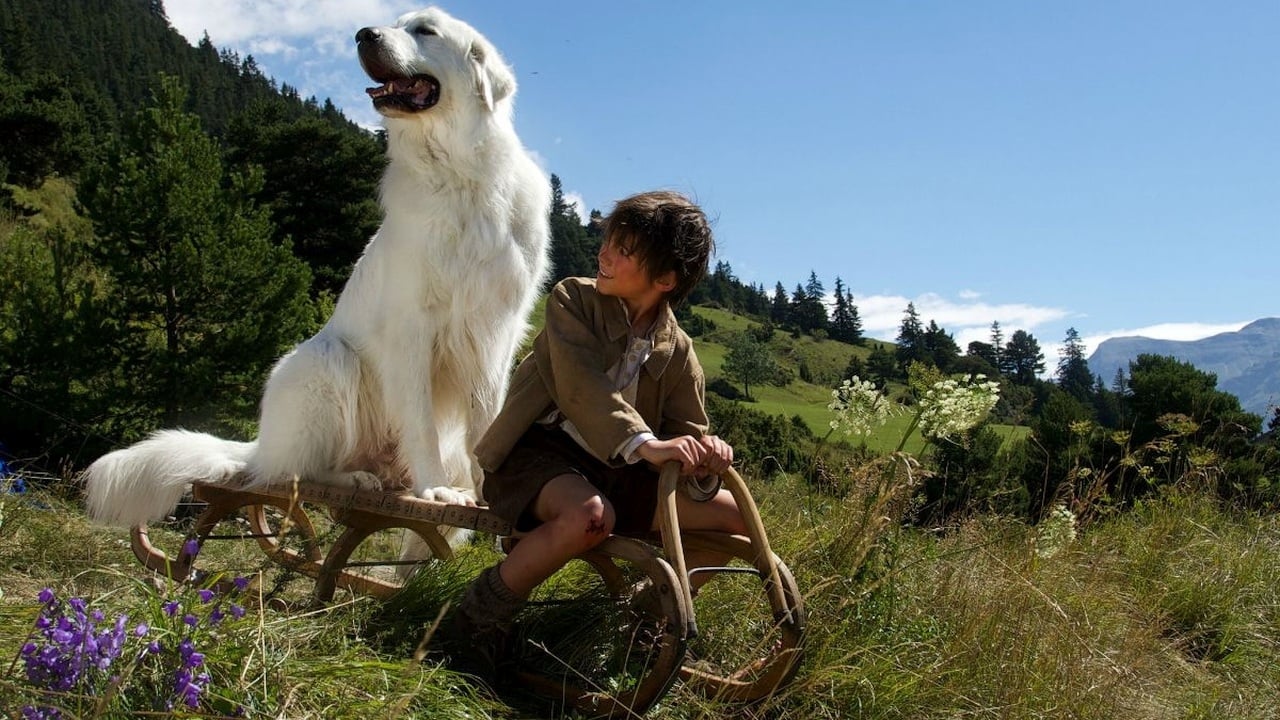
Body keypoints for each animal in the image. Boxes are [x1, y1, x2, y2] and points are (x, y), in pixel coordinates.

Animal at [82, 5, 552, 532]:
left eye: (425, 30)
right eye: (396, 23)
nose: (363, 34)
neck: (459, 176)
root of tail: (259, 445)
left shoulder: (495, 333)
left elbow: (488, 423)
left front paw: (488, 493)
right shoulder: (411, 329)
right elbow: (420, 422)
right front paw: (435, 490)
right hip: (325, 361)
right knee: (298, 470)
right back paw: (358, 478)